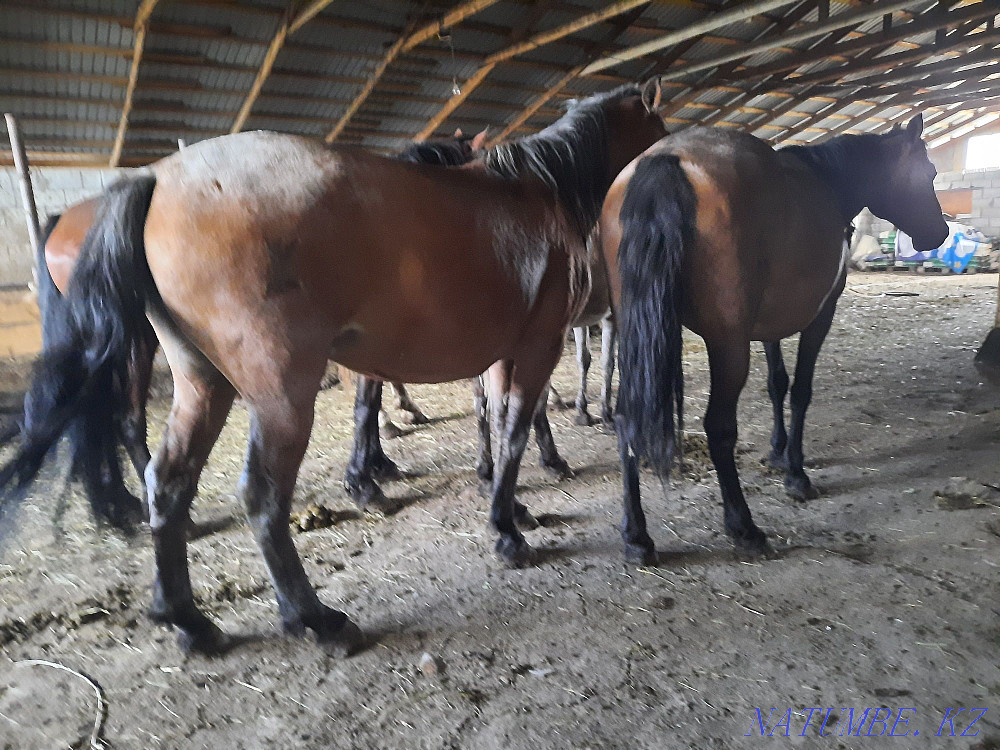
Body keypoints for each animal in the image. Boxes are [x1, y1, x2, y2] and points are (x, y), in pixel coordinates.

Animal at [601, 114, 948, 564]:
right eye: (929, 173)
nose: (940, 233)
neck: (827, 181)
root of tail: (666, 159)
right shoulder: (820, 315)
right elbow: (800, 391)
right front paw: (796, 474)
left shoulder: (768, 327)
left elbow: (776, 384)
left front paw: (778, 452)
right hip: (727, 346)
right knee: (718, 427)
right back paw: (743, 527)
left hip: (636, 335)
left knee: (627, 419)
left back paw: (637, 536)